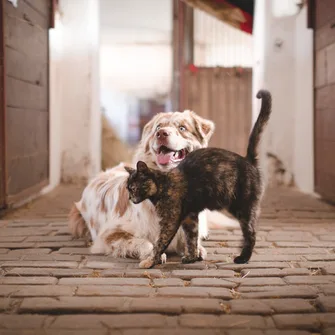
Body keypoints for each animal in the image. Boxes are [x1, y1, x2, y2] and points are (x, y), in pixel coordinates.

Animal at [124, 90, 272, 270]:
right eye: (128, 188)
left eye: (133, 188)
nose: (130, 198)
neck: (163, 184)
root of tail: (247, 159)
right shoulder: (190, 217)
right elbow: (192, 238)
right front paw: (192, 257)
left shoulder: (170, 221)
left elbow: (160, 243)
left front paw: (151, 261)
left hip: (242, 207)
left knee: (251, 233)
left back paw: (243, 257)